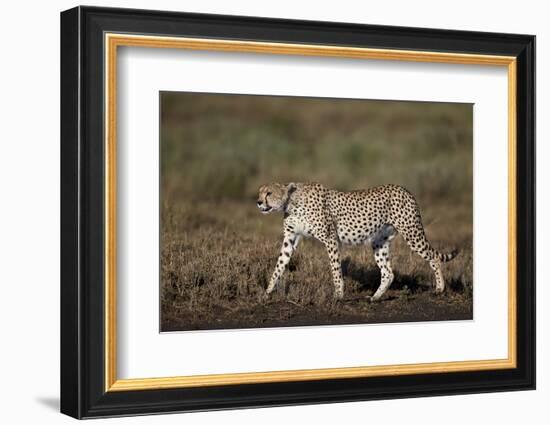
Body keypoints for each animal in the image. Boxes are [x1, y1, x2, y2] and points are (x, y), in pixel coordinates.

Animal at [256, 182, 460, 302]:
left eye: (269, 193)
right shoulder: (290, 239)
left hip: (412, 233)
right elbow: (279, 265)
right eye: (260, 193)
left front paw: (338, 295)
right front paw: (267, 291)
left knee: (433, 257)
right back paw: (375, 297)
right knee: (388, 272)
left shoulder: (330, 238)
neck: (291, 202)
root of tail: (404, 189)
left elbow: (335, 268)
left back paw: (440, 288)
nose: (258, 202)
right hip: (379, 242)